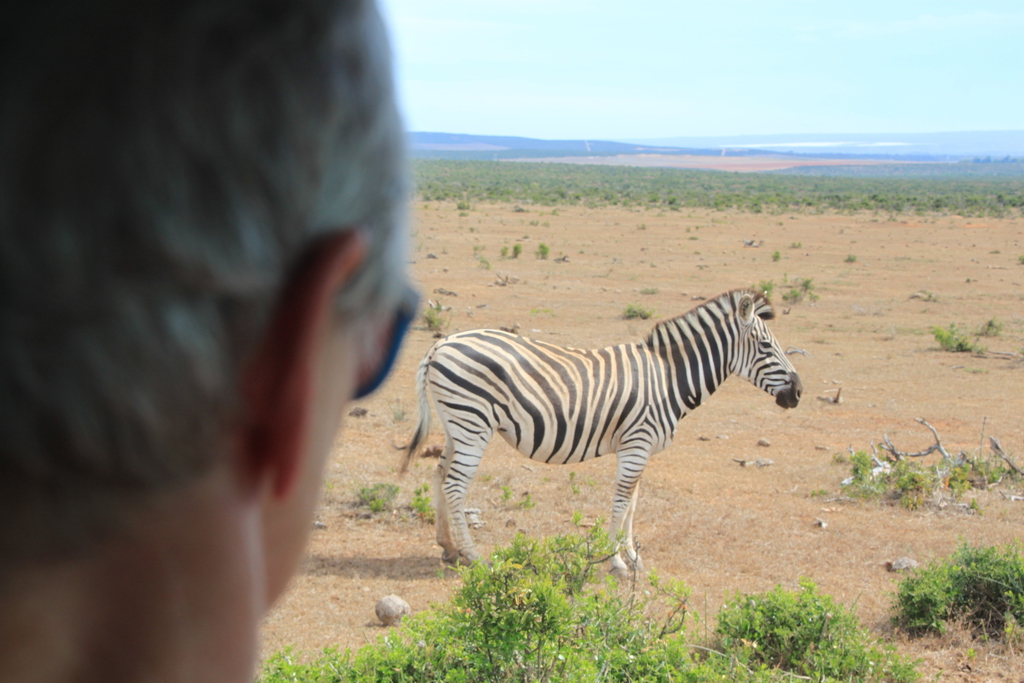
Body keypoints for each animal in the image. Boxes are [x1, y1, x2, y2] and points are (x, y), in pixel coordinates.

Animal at [401, 288, 802, 576]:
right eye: (766, 345)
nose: (798, 392)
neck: (668, 378)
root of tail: (440, 343)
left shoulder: (639, 449)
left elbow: (633, 504)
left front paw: (632, 555)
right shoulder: (637, 444)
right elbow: (622, 502)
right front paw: (617, 561)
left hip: (457, 425)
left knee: (439, 475)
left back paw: (448, 548)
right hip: (473, 422)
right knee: (455, 486)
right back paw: (474, 557)